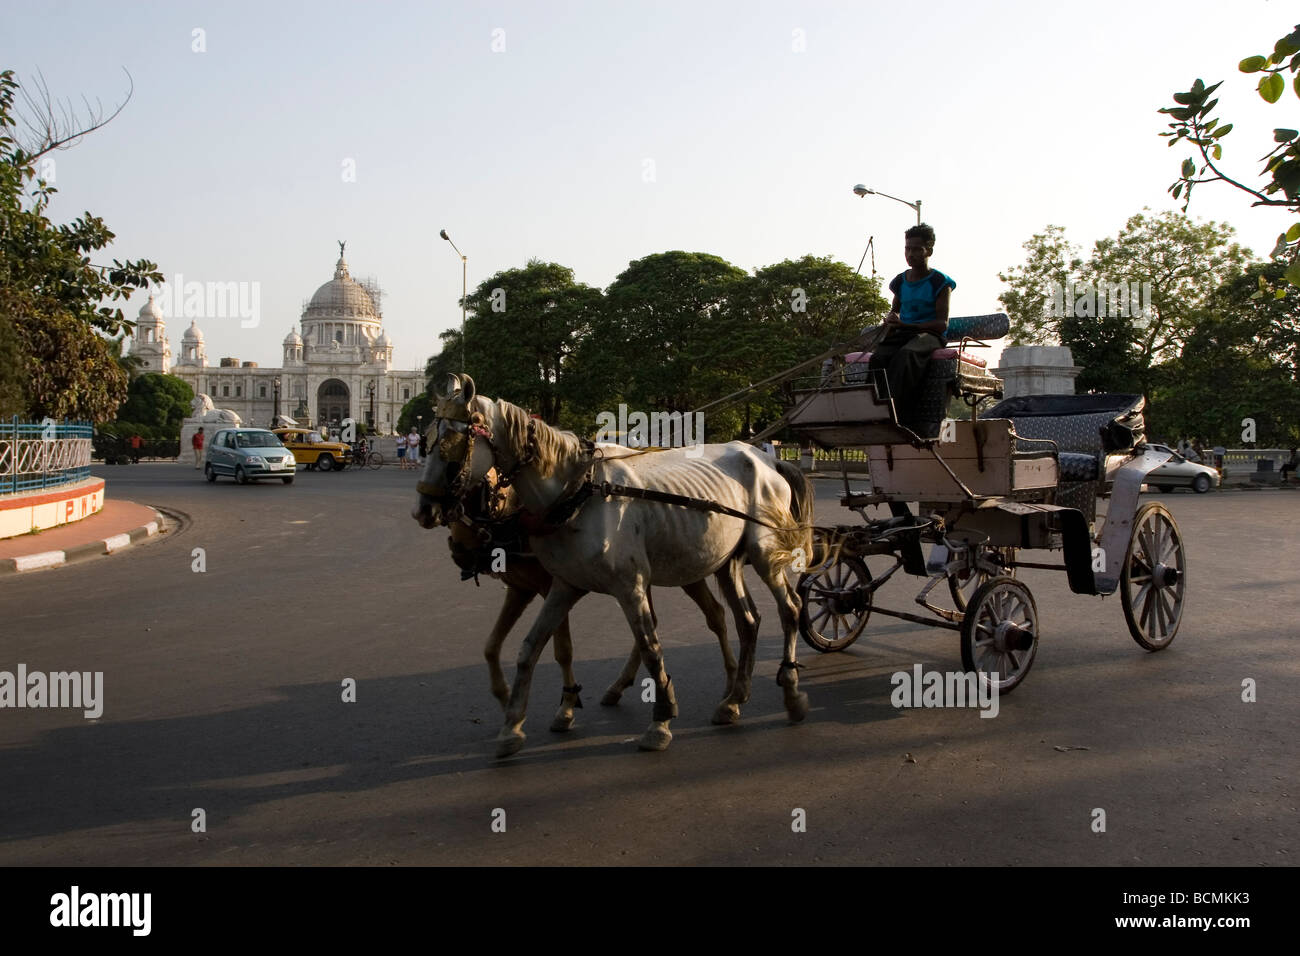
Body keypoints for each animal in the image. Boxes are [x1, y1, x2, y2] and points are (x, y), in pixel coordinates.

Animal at [410, 374, 811, 754]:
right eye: (425, 441)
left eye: (450, 443)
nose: (423, 511)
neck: (578, 493)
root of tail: (766, 458)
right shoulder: (563, 586)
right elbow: (529, 649)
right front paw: (512, 725)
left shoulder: (629, 586)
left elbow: (649, 647)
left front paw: (660, 720)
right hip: (724, 562)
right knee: (748, 621)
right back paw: (734, 698)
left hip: (764, 552)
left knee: (790, 609)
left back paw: (791, 693)